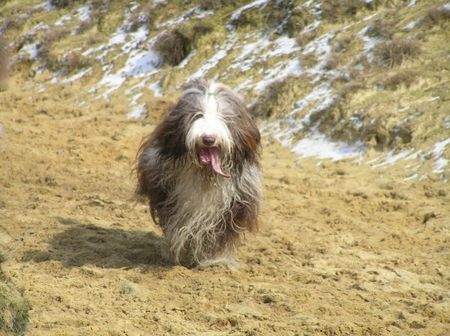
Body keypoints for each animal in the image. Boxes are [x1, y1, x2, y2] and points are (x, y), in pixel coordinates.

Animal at [138, 79, 264, 266]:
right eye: (197, 115)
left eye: (224, 117)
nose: (208, 139)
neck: (206, 174)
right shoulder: (168, 194)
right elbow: (177, 226)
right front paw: (176, 253)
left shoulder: (235, 203)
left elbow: (219, 234)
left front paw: (213, 259)